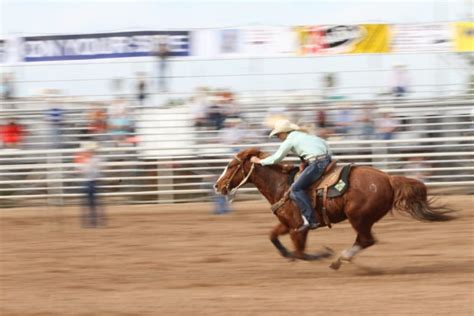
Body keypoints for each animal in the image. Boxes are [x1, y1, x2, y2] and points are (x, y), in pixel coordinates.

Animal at [214, 148, 452, 270]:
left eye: (231, 166)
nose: (217, 186)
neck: (282, 185)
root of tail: (388, 178)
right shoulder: (287, 224)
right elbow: (273, 237)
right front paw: (286, 254)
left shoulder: (299, 228)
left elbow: (302, 253)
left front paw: (323, 253)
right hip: (361, 219)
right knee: (364, 240)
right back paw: (341, 259)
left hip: (359, 217)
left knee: (366, 240)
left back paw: (339, 259)